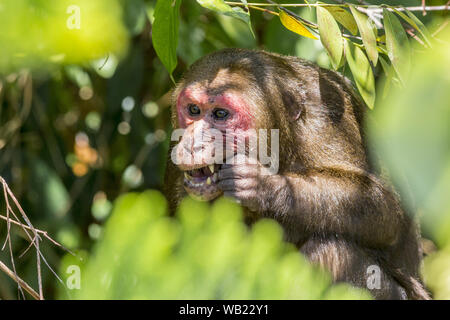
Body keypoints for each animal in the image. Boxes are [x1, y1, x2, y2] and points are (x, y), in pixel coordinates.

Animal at [163, 48, 430, 300]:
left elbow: (386, 209)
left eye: (220, 114)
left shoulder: (326, 118)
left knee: (331, 253)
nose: (191, 143)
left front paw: (264, 186)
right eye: (194, 110)